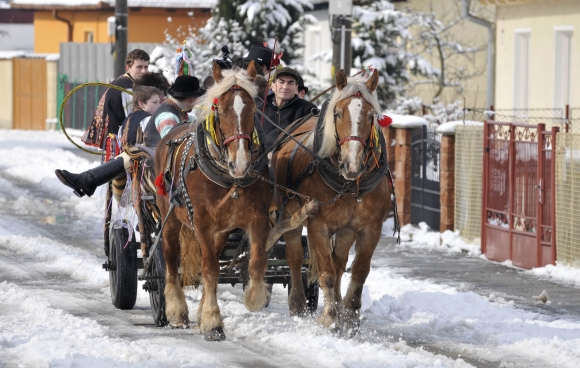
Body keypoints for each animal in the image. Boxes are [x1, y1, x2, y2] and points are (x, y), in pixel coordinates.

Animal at [154, 61, 272, 340]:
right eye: (221, 110)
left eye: (253, 109)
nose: (240, 164)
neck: (231, 180)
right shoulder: (202, 223)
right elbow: (209, 269)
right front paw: (212, 320)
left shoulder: (258, 219)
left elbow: (256, 263)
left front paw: (254, 298)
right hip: (170, 219)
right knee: (171, 260)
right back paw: (176, 310)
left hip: (221, 231)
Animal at [274, 69, 392, 336]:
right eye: (337, 113)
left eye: (371, 115)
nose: (352, 165)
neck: (349, 185)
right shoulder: (318, 225)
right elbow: (326, 272)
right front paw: (330, 318)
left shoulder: (371, 228)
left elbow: (359, 270)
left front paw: (350, 315)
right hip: (290, 215)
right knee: (295, 255)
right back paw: (298, 304)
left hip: (346, 229)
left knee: (339, 262)